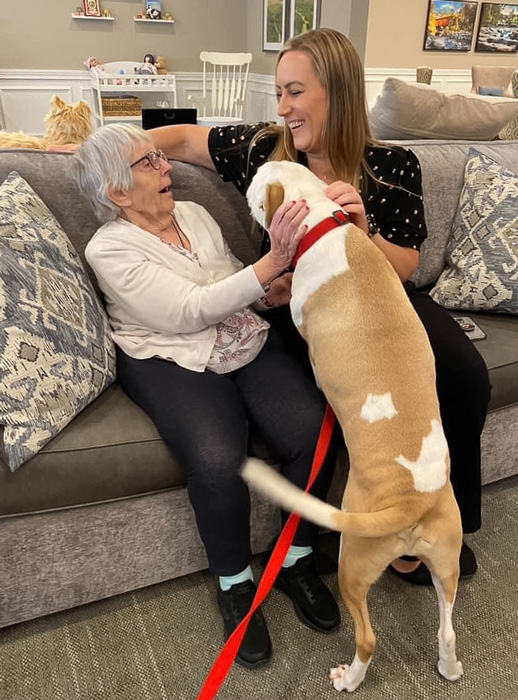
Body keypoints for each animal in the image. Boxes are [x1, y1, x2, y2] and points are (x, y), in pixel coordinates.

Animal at [245, 161, 468, 692]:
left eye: (257, 183)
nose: (246, 180)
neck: (324, 224)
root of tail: (410, 502)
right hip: (445, 559)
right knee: (447, 631)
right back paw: (449, 668)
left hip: (353, 563)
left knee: (367, 639)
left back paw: (349, 677)